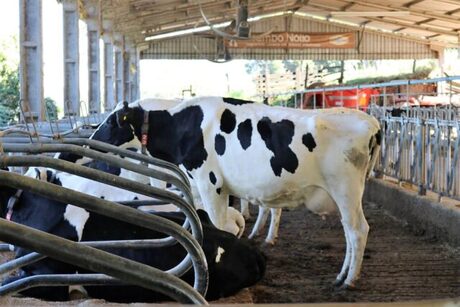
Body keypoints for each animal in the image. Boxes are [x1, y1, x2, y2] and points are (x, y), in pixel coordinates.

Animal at [90, 97, 380, 290]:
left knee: (358, 231)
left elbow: (219, 224)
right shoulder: (197, 185)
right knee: (349, 231)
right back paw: (341, 275)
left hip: (345, 190)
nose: (92, 140)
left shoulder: (210, 183)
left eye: (111, 121)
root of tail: (371, 123)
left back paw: (348, 281)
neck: (182, 126)